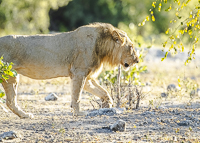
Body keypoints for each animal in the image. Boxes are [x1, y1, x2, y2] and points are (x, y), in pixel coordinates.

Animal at [0, 22, 139, 118]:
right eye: (131, 47)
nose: (137, 60)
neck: (102, 48)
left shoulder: (87, 77)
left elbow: (104, 92)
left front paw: (107, 105)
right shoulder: (79, 72)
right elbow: (76, 95)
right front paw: (79, 113)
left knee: (10, 102)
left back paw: (24, 115)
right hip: (10, 75)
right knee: (10, 101)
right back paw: (26, 115)